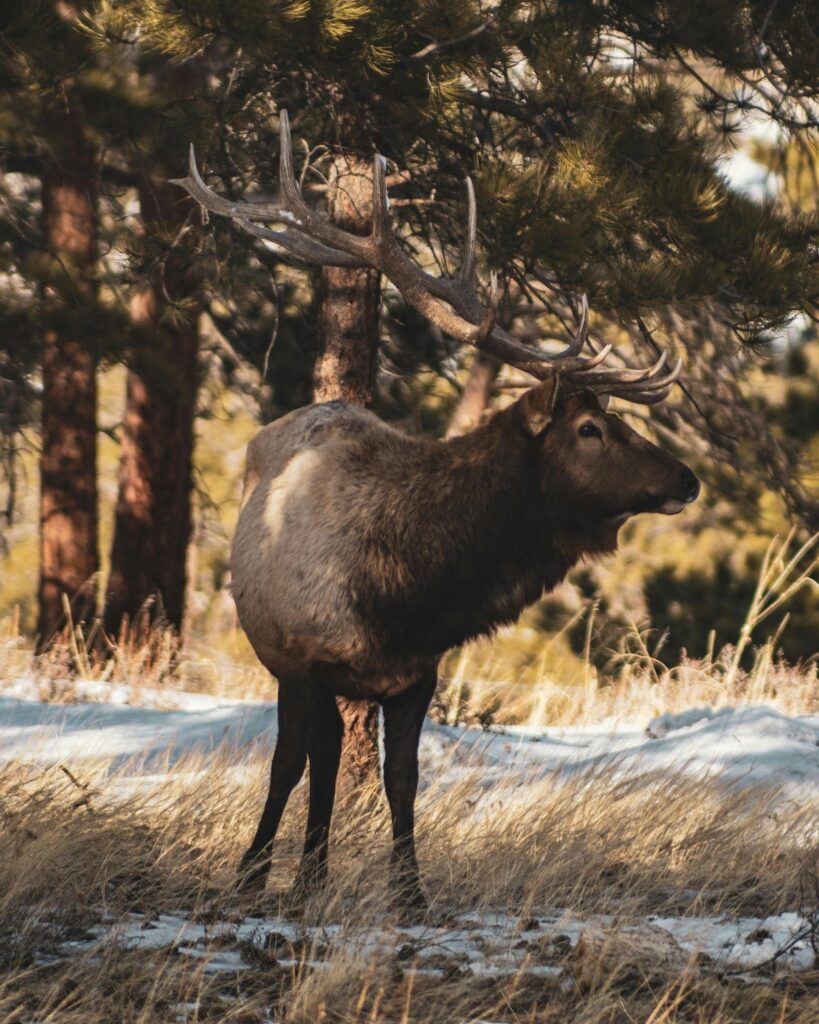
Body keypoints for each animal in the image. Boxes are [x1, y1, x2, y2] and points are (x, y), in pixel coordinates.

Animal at [172, 112, 700, 910]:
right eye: (590, 429)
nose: (687, 477)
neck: (407, 592)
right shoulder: (308, 661)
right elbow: (305, 768)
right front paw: (280, 877)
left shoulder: (418, 673)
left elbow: (402, 778)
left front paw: (409, 894)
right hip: (283, 659)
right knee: (300, 759)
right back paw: (271, 870)